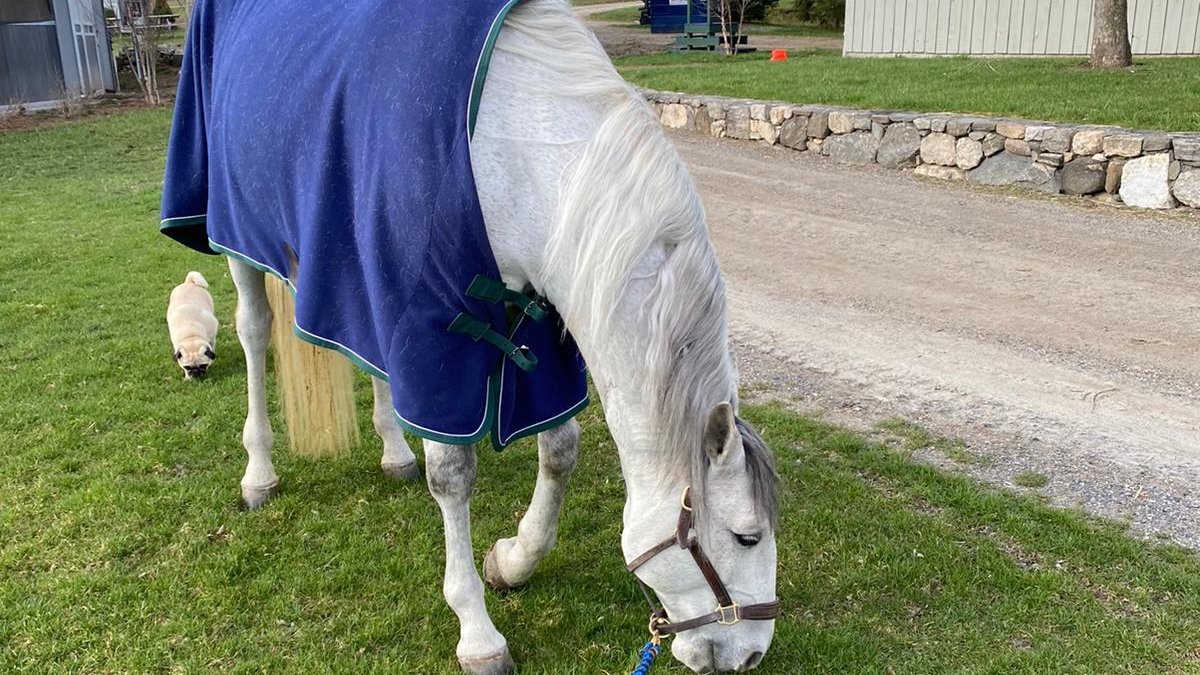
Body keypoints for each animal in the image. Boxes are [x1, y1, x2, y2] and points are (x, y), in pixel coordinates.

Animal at [159, 1, 779, 672]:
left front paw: (514, 560)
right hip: (237, 240)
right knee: (253, 332)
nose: (749, 656)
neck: (523, 148)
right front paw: (477, 632)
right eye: (747, 535)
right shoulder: (432, 333)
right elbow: (453, 474)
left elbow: (560, 449)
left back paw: (393, 454)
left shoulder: (539, 322)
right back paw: (260, 471)